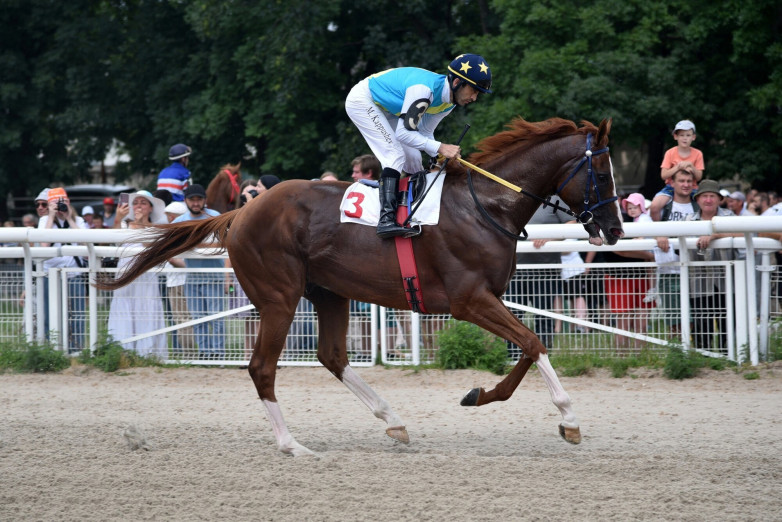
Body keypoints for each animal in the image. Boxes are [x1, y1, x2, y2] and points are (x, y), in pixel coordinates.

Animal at [99, 118, 624, 456]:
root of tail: (240, 211)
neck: (486, 206)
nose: (616, 230)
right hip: (279, 297)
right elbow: (534, 343)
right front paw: (569, 419)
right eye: (601, 174)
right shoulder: (469, 300)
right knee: (262, 368)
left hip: (329, 292)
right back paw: (292, 445)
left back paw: (393, 421)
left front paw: (479, 394)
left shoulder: (485, 299)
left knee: (332, 356)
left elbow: (527, 349)